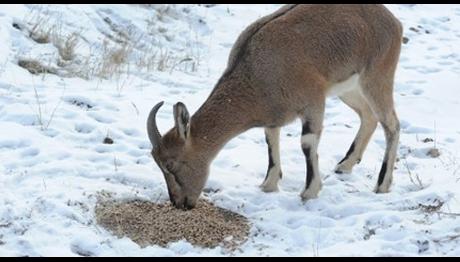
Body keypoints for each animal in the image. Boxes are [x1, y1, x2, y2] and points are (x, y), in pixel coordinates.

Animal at [147, 4, 402, 209]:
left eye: (170, 164)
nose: (180, 203)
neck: (257, 71)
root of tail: (393, 21)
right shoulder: (274, 114)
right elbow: (271, 140)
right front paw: (268, 184)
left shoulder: (313, 101)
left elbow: (307, 143)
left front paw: (309, 191)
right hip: (348, 89)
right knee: (368, 116)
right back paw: (345, 165)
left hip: (377, 77)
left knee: (391, 124)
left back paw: (382, 184)